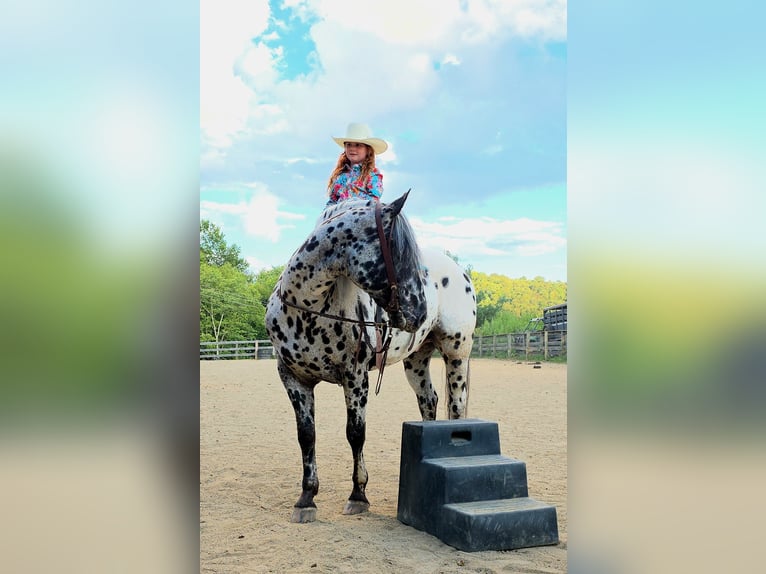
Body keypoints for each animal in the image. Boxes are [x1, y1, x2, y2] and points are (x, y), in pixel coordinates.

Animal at [265, 192, 477, 523]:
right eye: (400, 254)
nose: (419, 312)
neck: (308, 309)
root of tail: (460, 271)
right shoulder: (293, 379)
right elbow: (307, 435)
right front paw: (306, 498)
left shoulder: (355, 377)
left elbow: (355, 433)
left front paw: (358, 495)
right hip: (416, 361)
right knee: (428, 400)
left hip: (457, 354)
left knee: (456, 407)